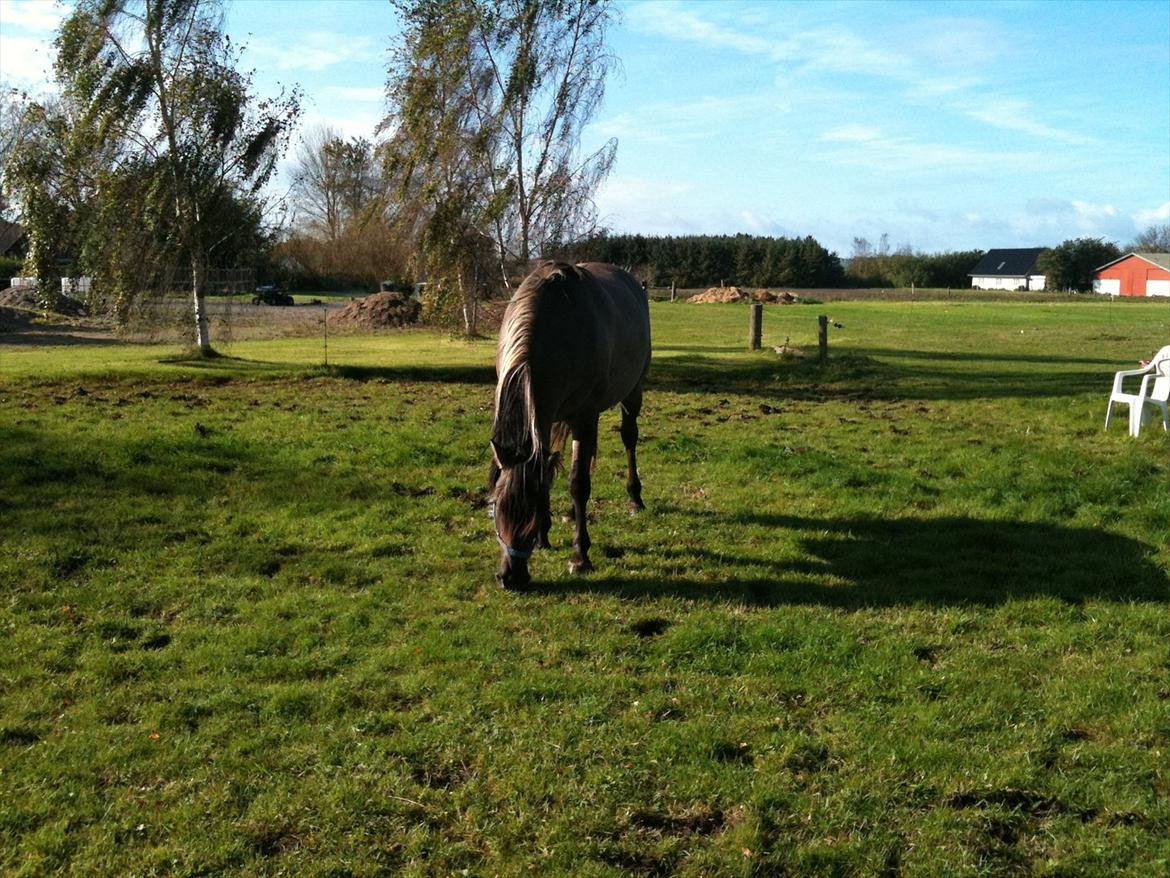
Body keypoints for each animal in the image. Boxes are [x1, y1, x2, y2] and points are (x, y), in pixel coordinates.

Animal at [489, 261, 655, 592]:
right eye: (496, 506)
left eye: (529, 514)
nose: (510, 578)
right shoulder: (546, 416)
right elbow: (547, 473)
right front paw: (545, 536)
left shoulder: (584, 417)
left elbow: (578, 484)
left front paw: (579, 556)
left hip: (632, 394)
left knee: (629, 439)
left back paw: (635, 499)